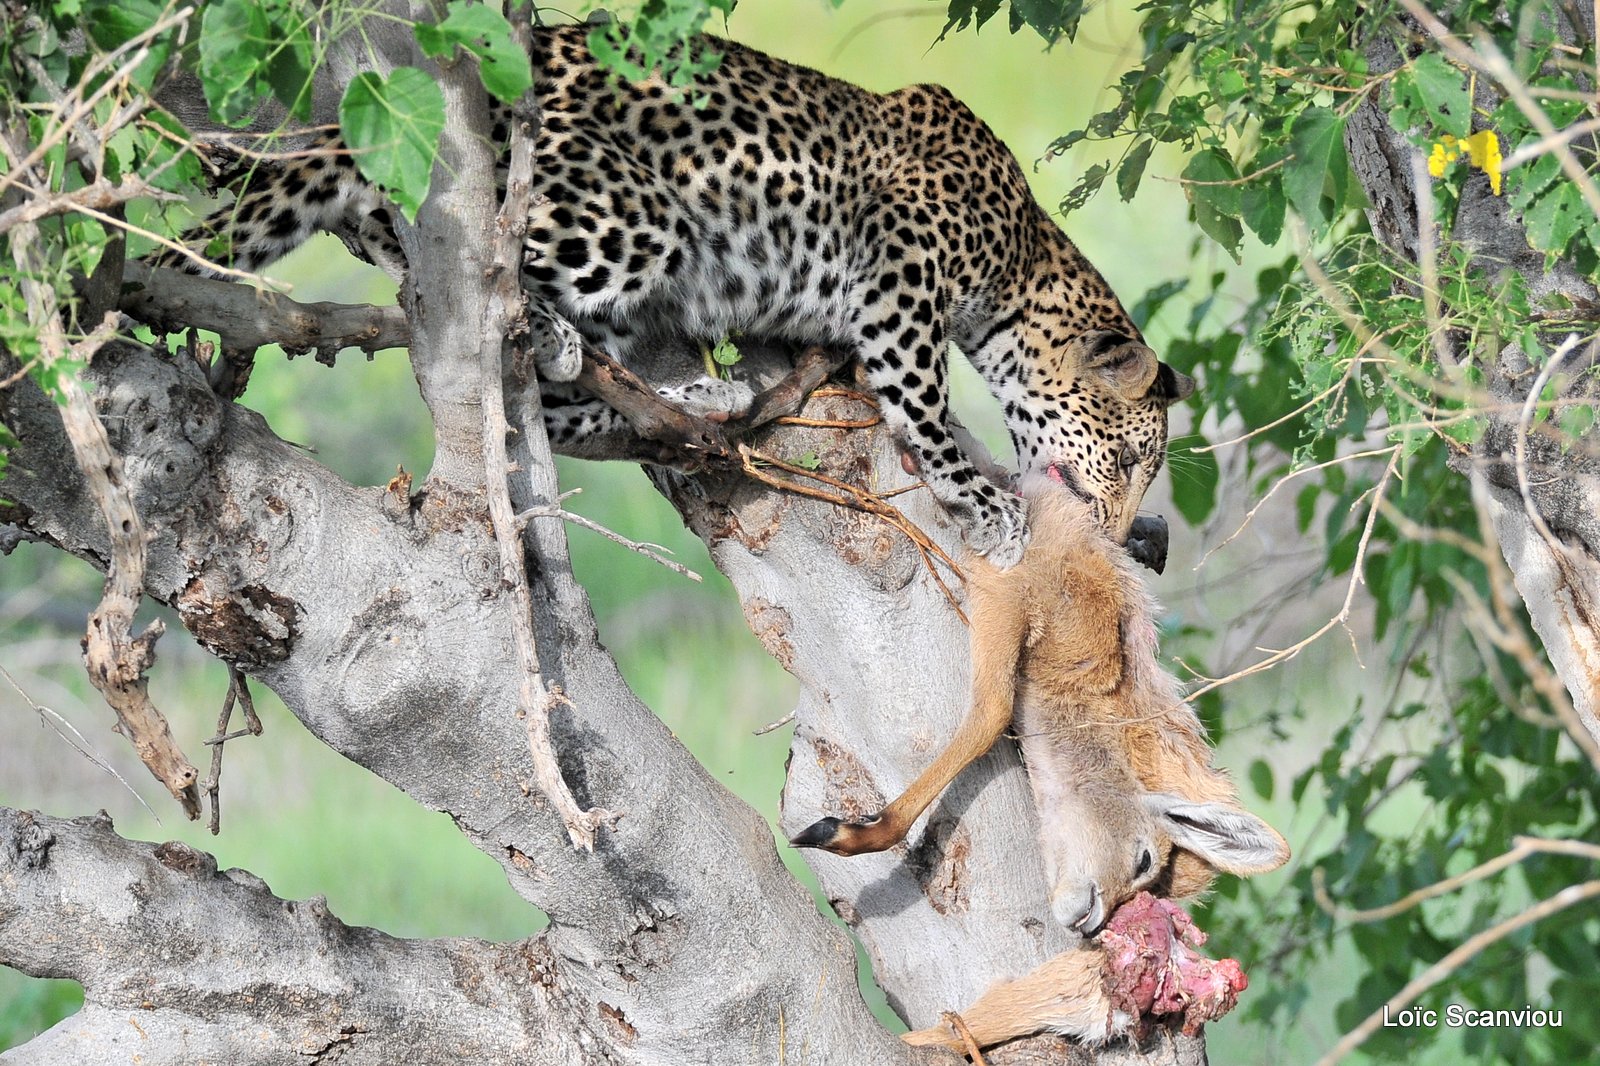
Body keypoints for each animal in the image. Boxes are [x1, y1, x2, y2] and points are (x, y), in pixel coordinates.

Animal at [156, 22, 1196, 563]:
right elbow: (927, 404)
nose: (1128, 533)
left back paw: (696, 393)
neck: (1023, 258)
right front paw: (984, 505)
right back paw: (553, 333)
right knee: (461, 279)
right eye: (1128, 457)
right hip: (627, 209)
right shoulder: (902, 275)